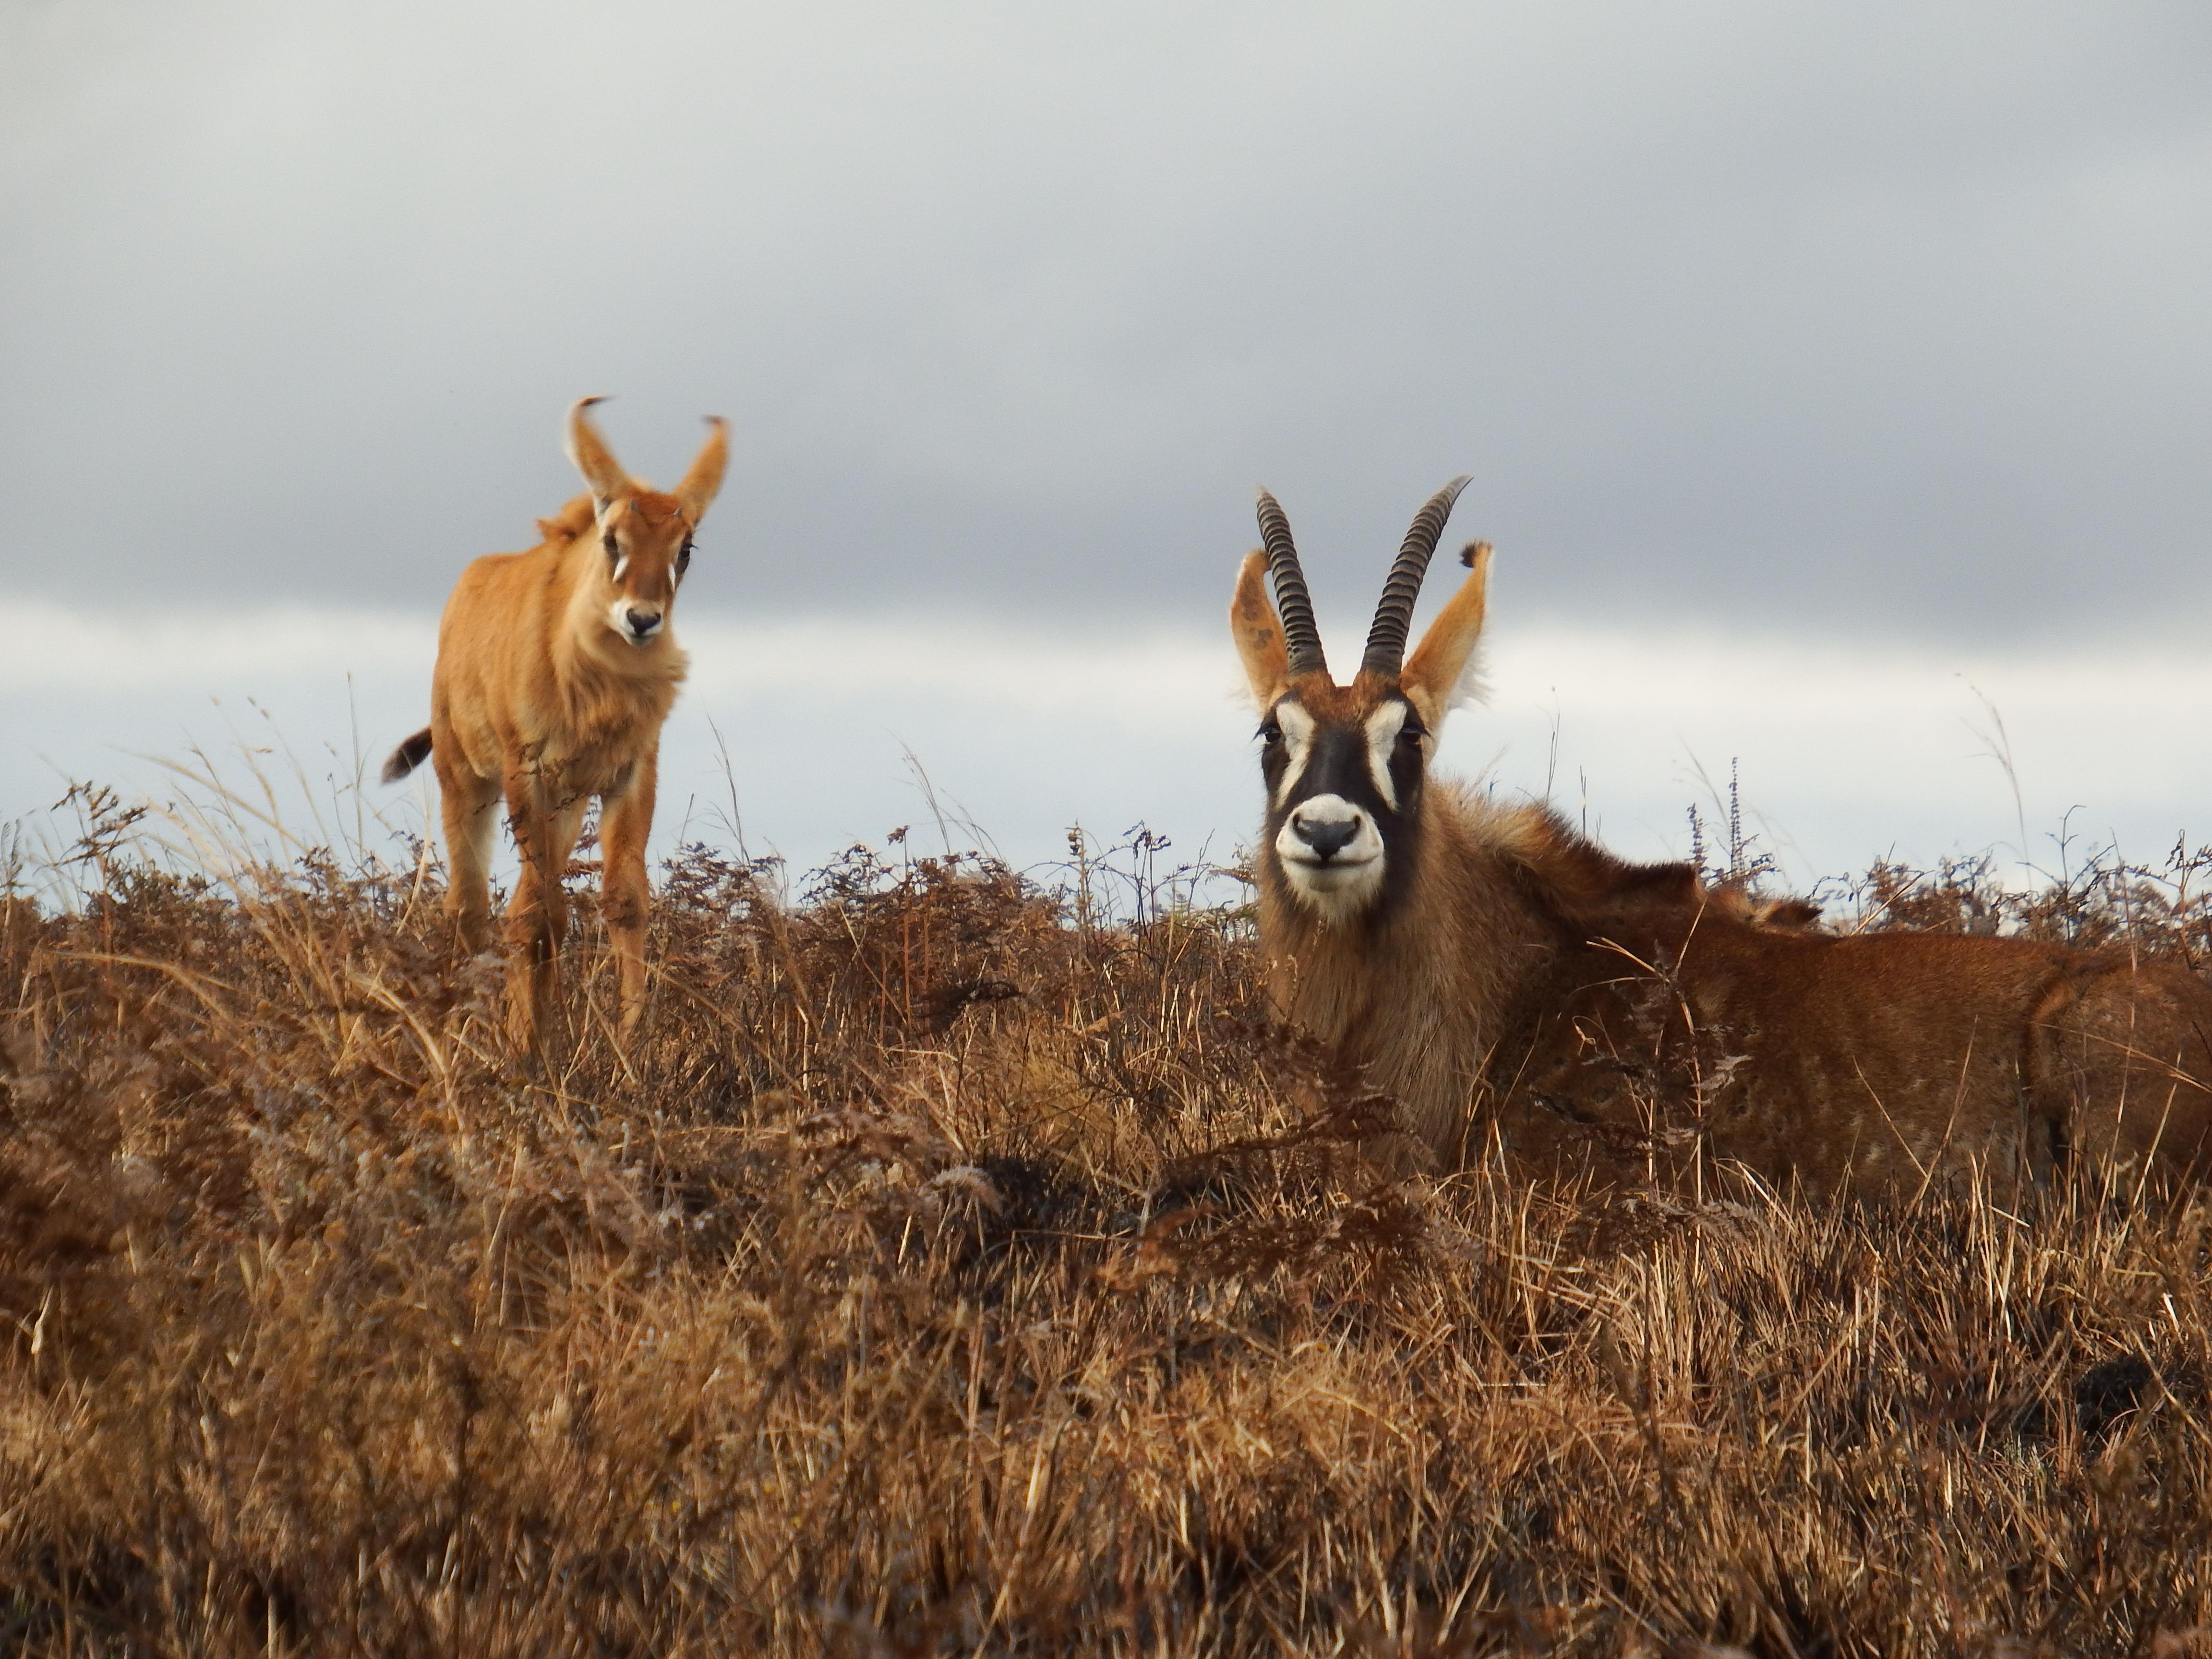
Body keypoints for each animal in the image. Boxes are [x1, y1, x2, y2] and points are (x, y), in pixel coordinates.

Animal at [380, 400, 725, 1053]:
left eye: (687, 546)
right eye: (613, 539)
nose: (642, 620)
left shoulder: (629, 775)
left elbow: (623, 901)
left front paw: (629, 1041)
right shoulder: (529, 771)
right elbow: (545, 914)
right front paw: (537, 1042)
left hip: (566, 803)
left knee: (518, 905)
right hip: (469, 783)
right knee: (472, 908)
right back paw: (471, 1028)